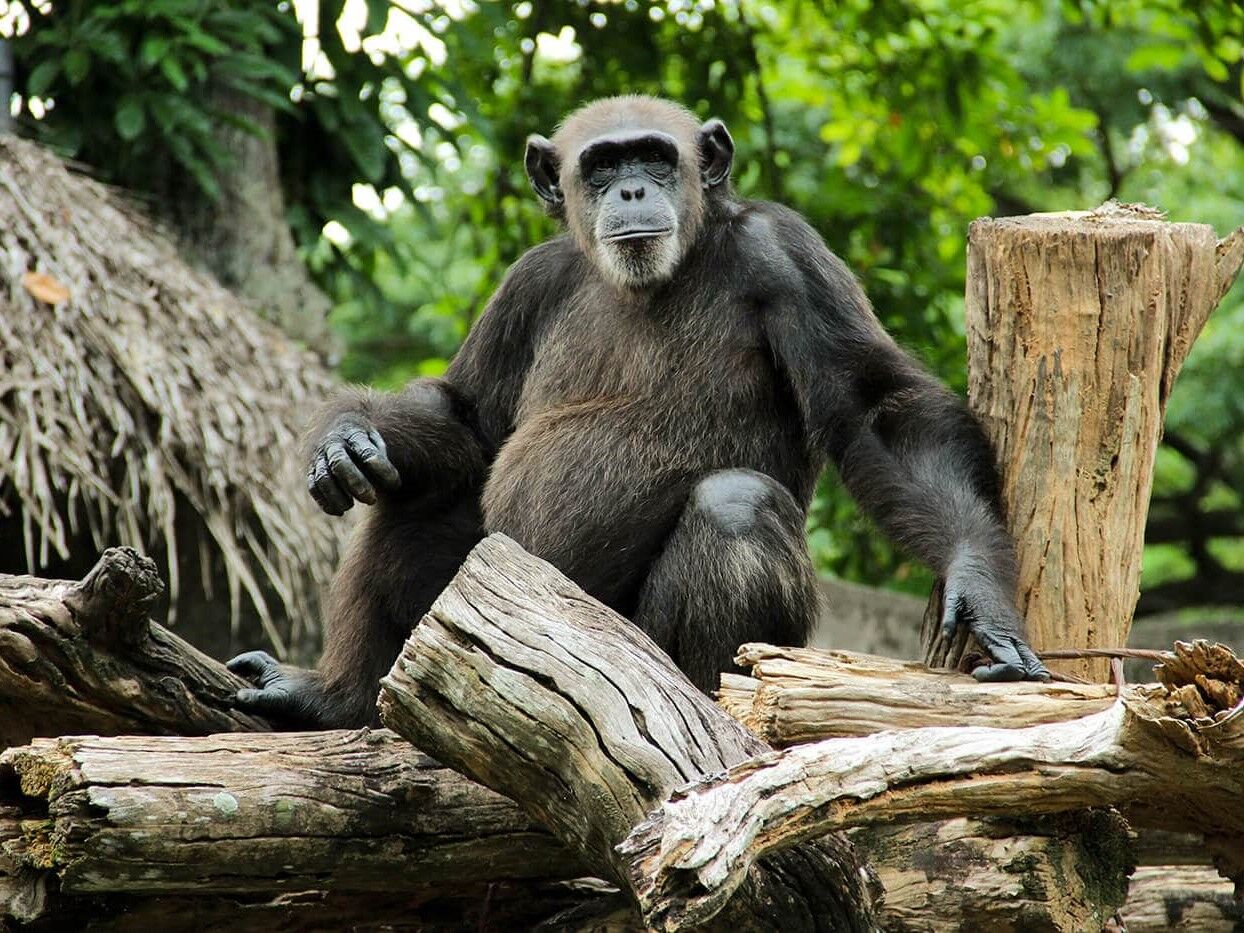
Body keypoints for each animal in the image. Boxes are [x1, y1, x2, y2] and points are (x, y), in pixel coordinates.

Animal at [228, 95, 1044, 731]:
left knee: (736, 506)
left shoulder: (788, 254)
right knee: (415, 490)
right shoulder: (527, 283)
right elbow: (469, 419)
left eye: (653, 157)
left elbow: (875, 412)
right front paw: (347, 431)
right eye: (601, 166)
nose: (628, 193)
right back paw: (337, 698)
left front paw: (979, 590)